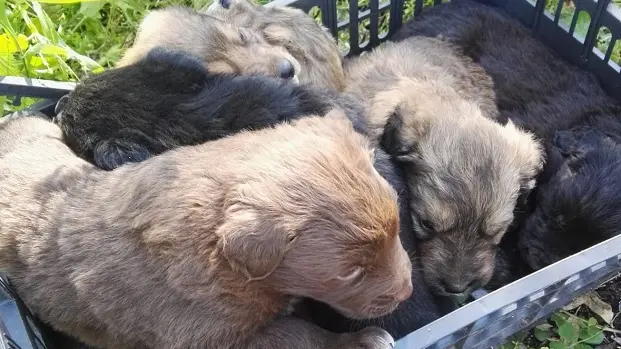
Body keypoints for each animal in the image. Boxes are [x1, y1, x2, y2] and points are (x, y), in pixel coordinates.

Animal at [0, 111, 412, 348]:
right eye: (351, 272)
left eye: (397, 228)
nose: (406, 291)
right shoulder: (208, 334)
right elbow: (298, 336)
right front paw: (360, 341)